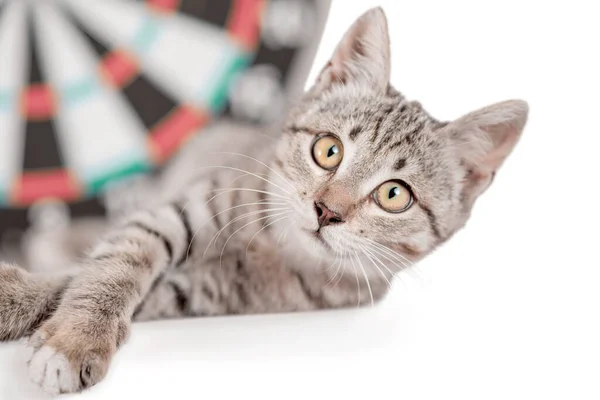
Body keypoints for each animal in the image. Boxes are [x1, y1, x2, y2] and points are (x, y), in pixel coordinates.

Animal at [0, 7, 524, 396]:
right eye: (328, 150)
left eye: (394, 195)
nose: (327, 211)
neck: (275, 244)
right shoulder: (180, 209)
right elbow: (113, 261)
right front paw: (69, 331)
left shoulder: (209, 293)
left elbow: (112, 282)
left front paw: (66, 334)